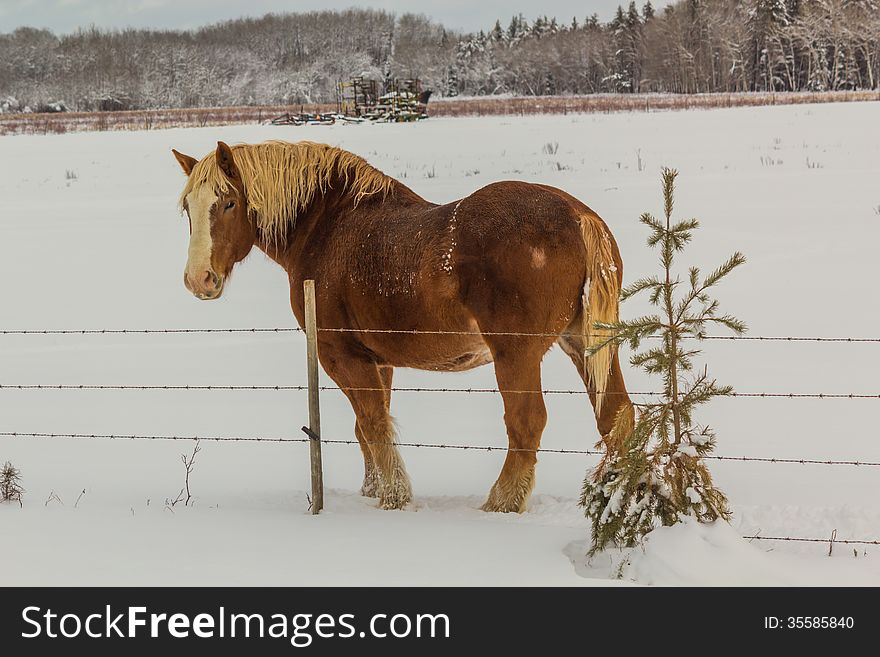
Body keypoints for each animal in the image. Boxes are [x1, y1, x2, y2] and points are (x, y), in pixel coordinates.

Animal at [172, 140, 636, 512]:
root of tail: (578, 216)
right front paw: (374, 489)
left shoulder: (340, 356)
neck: (328, 228)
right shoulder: (379, 361)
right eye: (188, 208)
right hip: (585, 346)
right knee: (616, 417)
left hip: (516, 355)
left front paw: (394, 498)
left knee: (527, 422)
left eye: (228, 203)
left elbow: (374, 424)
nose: (198, 280)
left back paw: (501, 504)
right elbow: (367, 428)